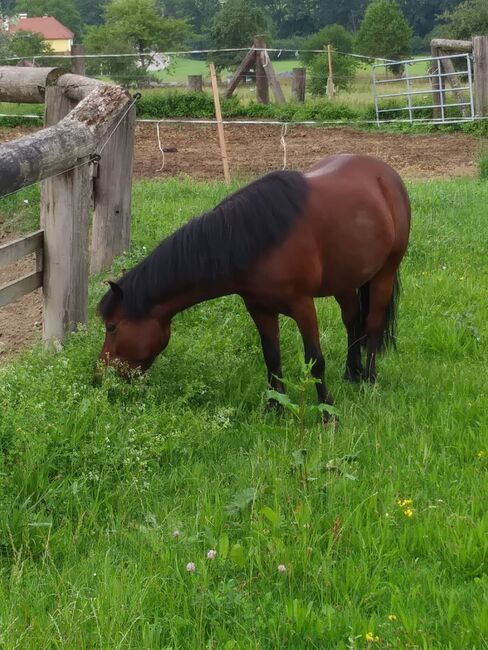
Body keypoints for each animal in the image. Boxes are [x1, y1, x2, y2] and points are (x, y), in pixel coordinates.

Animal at [97, 154, 410, 412]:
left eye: (112, 327)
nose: (99, 378)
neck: (257, 239)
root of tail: (385, 173)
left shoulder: (303, 306)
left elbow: (315, 359)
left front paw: (327, 412)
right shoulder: (259, 308)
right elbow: (271, 356)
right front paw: (275, 407)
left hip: (385, 272)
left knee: (372, 325)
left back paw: (369, 379)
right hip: (344, 280)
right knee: (352, 320)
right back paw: (351, 372)